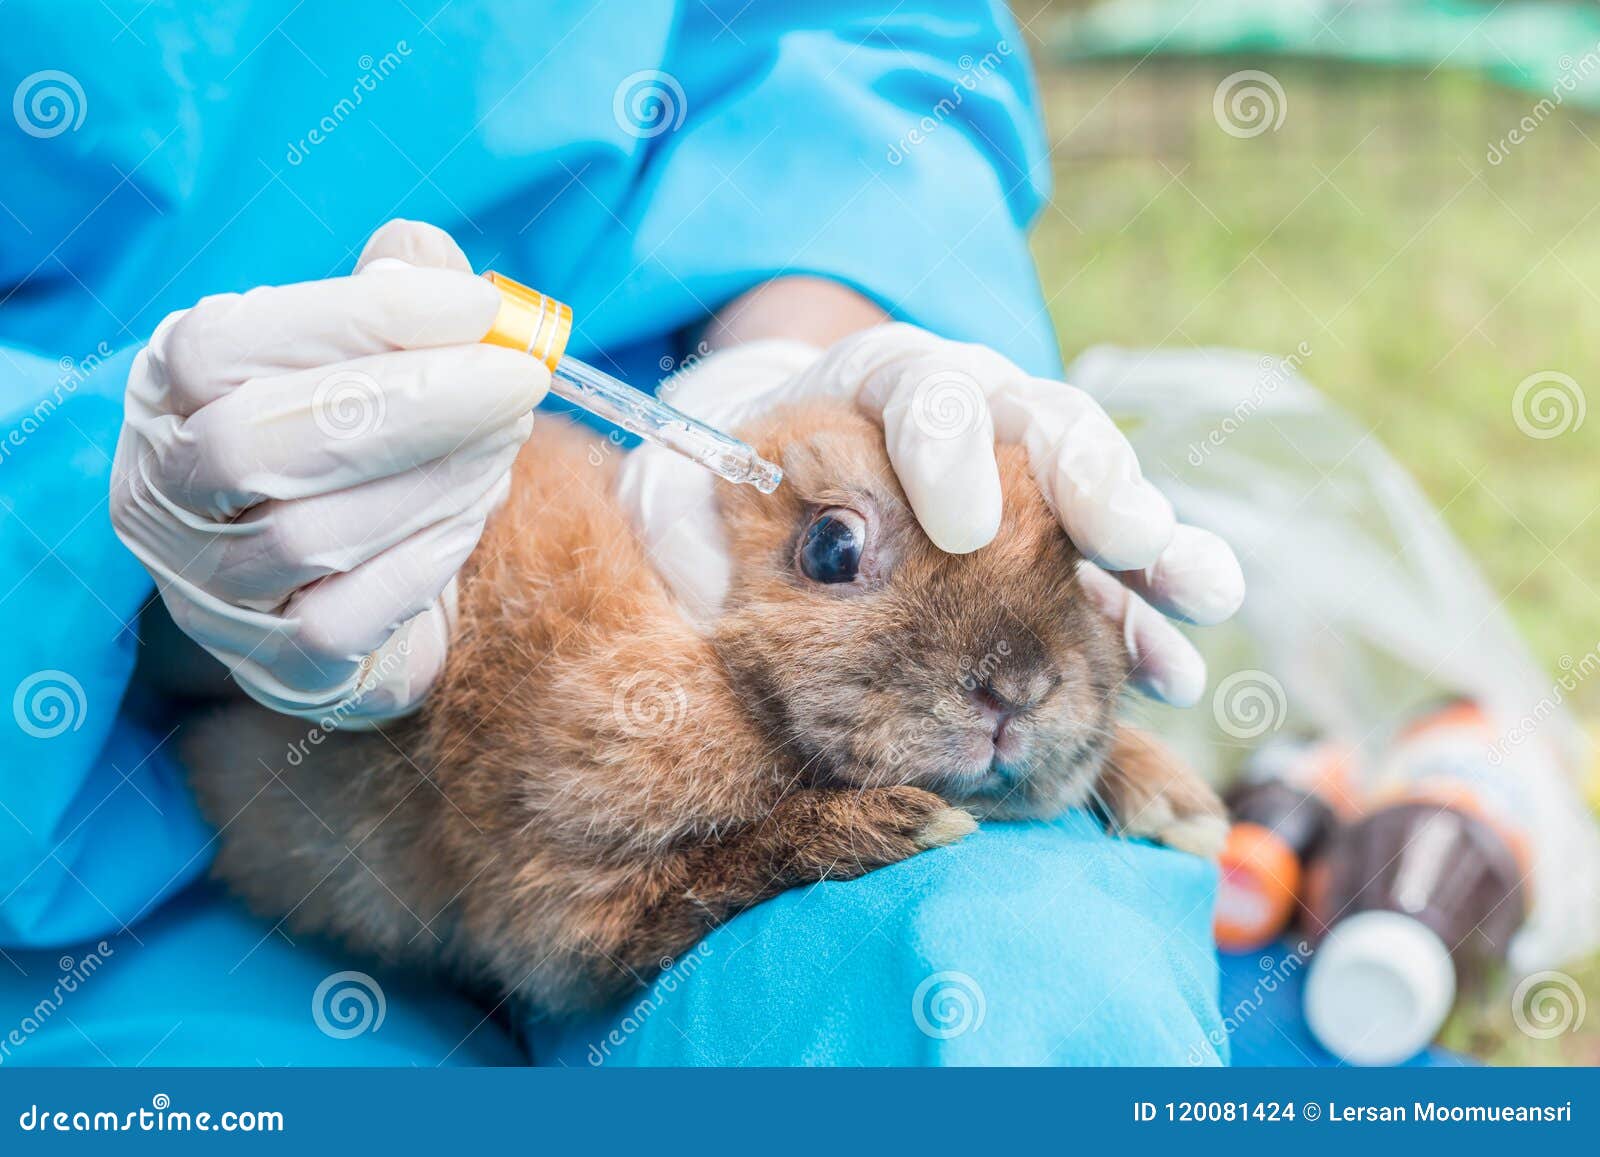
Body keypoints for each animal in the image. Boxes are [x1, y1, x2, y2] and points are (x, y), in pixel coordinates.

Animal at [181, 400, 1226, 1015]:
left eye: (1078, 563)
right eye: (833, 548)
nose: (1018, 689)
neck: (722, 669)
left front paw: (1181, 806)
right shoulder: (560, 900)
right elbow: (702, 876)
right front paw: (897, 824)